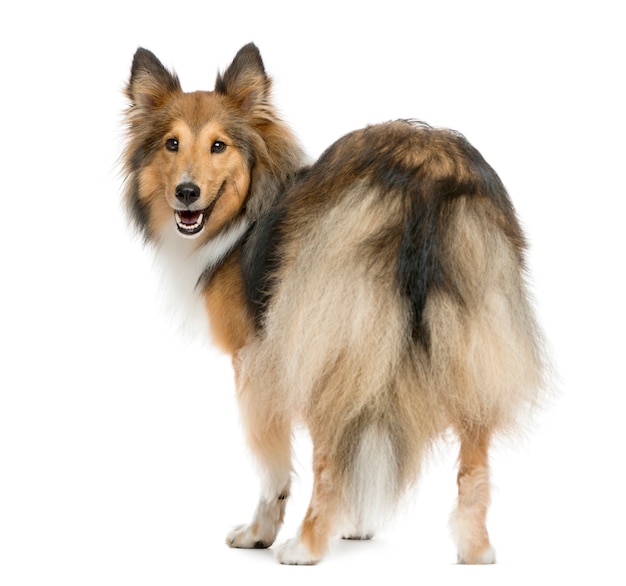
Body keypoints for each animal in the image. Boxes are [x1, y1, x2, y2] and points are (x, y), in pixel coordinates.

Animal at [123, 43, 544, 564]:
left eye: (219, 145)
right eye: (171, 144)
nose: (186, 193)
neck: (251, 202)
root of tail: (426, 172)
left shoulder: (258, 360)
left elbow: (275, 463)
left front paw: (260, 533)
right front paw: (357, 525)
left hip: (325, 344)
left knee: (327, 455)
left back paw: (303, 545)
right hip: (470, 341)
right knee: (472, 462)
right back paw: (475, 549)